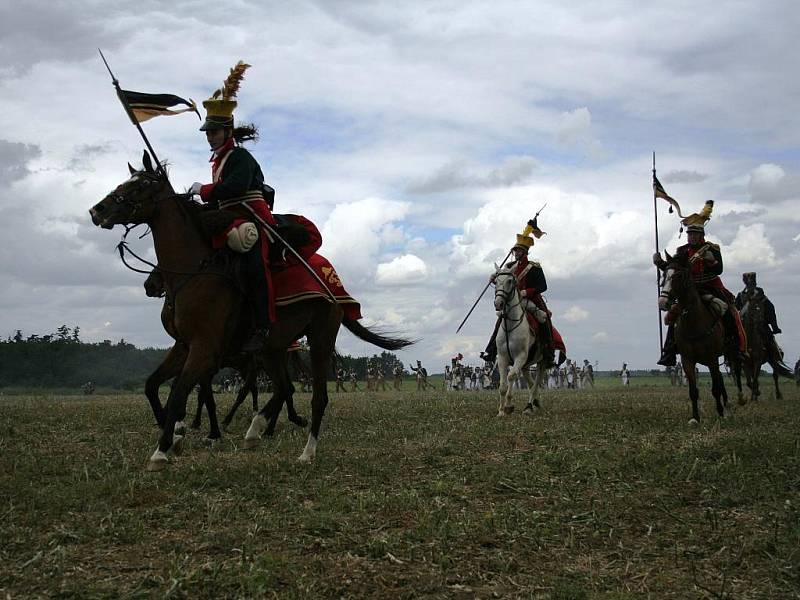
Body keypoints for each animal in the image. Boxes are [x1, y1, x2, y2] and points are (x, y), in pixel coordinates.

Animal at [92, 152, 412, 472]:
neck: (197, 271)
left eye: (142, 184)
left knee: (317, 397)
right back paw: (256, 430)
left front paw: (165, 447)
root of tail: (333, 281)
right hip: (272, 349)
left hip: (320, 339)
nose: (98, 210)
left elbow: (180, 392)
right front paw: (176, 433)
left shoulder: (205, 350)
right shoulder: (185, 346)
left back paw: (306, 451)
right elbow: (155, 386)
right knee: (284, 388)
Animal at [494, 268, 552, 414]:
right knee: (531, 383)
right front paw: (501, 410)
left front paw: (509, 405)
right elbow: (502, 385)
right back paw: (536, 403)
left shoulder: (520, 357)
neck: (510, 326)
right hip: (527, 364)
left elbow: (511, 376)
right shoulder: (502, 358)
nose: (498, 304)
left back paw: (529, 406)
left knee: (536, 384)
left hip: (542, 362)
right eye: (495, 281)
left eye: (510, 281)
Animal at [660, 251, 740, 424]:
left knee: (723, 379)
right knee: (720, 379)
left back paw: (728, 407)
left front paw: (720, 413)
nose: (663, 302)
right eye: (664, 274)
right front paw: (695, 418)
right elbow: (693, 391)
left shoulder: (711, 358)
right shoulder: (687, 361)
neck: (694, 321)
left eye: (679, 275)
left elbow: (715, 388)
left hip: (726, 353)